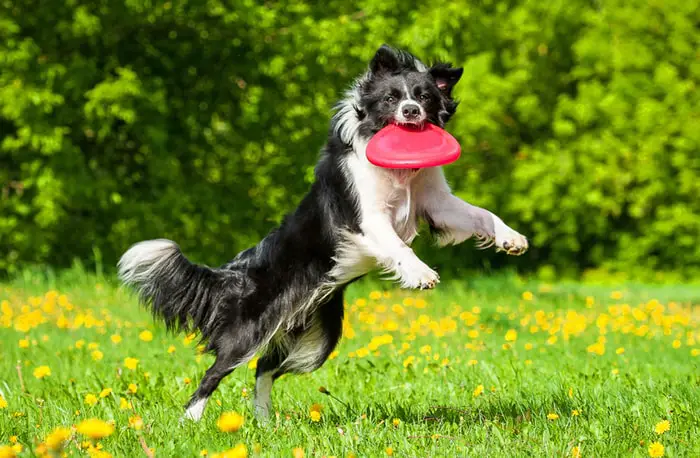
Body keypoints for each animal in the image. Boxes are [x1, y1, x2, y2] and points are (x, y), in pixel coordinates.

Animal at [117, 44, 528, 420]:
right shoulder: (368, 217)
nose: (411, 111)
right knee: (214, 373)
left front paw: (511, 238)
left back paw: (264, 422)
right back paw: (192, 422)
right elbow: (397, 245)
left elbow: (481, 215)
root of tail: (234, 273)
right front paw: (420, 273)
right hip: (250, 330)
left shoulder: (437, 203)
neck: (402, 175)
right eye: (391, 98)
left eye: (425, 96)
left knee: (264, 368)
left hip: (316, 338)